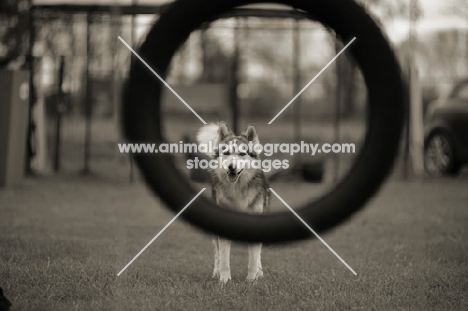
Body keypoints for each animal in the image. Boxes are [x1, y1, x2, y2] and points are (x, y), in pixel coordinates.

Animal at [197, 123, 270, 284]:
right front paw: (224, 280)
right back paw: (216, 272)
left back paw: (260, 272)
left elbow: (254, 257)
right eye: (226, 153)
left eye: (242, 154)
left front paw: (252, 280)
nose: (231, 167)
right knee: (217, 252)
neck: (238, 188)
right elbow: (223, 257)